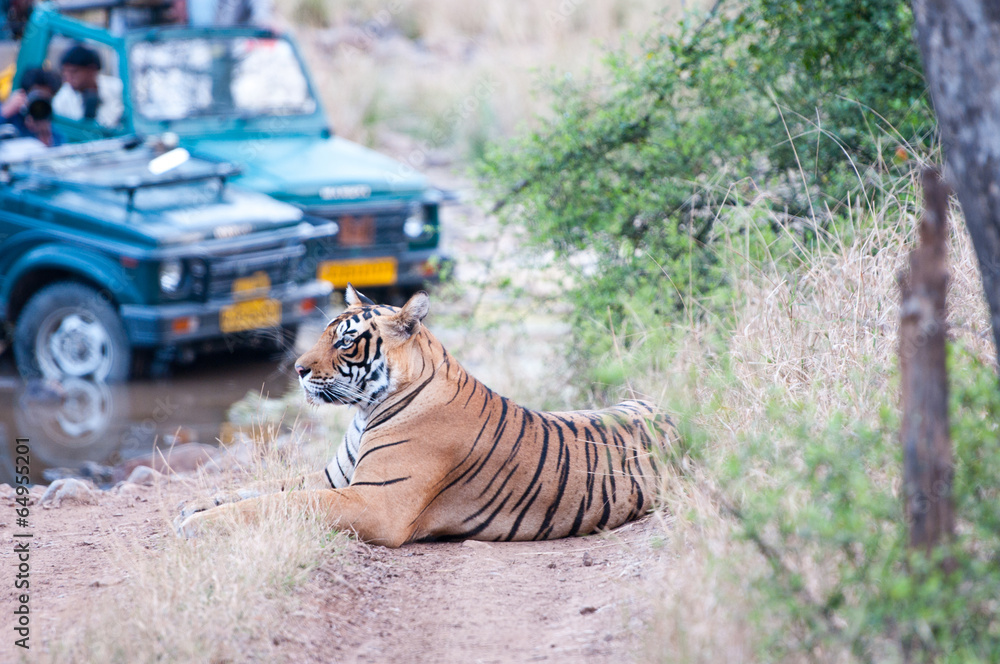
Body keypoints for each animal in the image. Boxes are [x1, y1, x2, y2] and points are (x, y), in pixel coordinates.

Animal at [177, 285, 677, 547]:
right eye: (323, 333)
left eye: (345, 341)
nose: (297, 370)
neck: (364, 411)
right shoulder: (337, 479)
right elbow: (262, 488)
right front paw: (195, 504)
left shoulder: (373, 502)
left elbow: (283, 502)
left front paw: (197, 525)